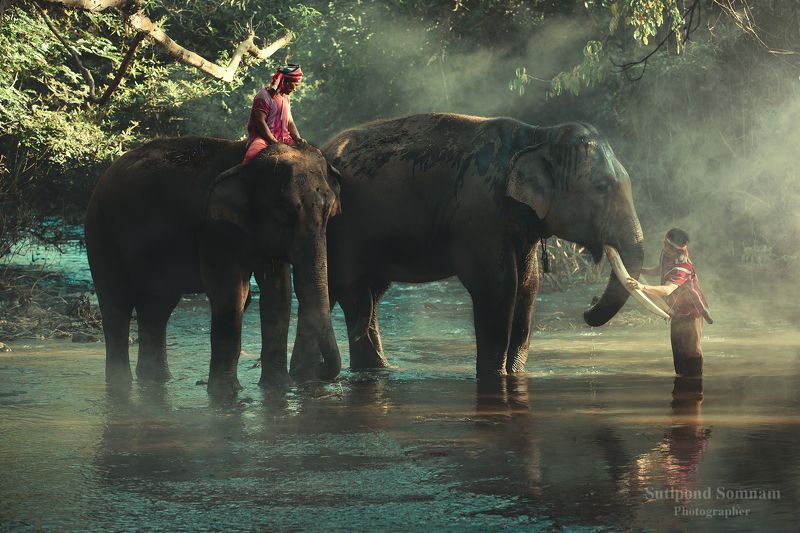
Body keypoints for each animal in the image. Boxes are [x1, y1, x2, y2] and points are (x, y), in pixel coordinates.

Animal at [85, 138, 342, 394]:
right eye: (285, 210)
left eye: (329, 211)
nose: (318, 370)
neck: (247, 162)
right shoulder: (213, 229)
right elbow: (230, 293)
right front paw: (226, 392)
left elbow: (279, 293)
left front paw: (279, 388)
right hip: (101, 231)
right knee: (117, 304)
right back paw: (120, 382)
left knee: (157, 307)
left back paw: (157, 378)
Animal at [322, 113, 666, 377]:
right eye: (601, 187)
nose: (587, 307)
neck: (537, 135)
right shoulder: (480, 213)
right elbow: (498, 286)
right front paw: (494, 376)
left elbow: (529, 285)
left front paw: (514, 374)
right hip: (341, 232)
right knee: (351, 291)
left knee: (370, 294)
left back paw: (379, 370)